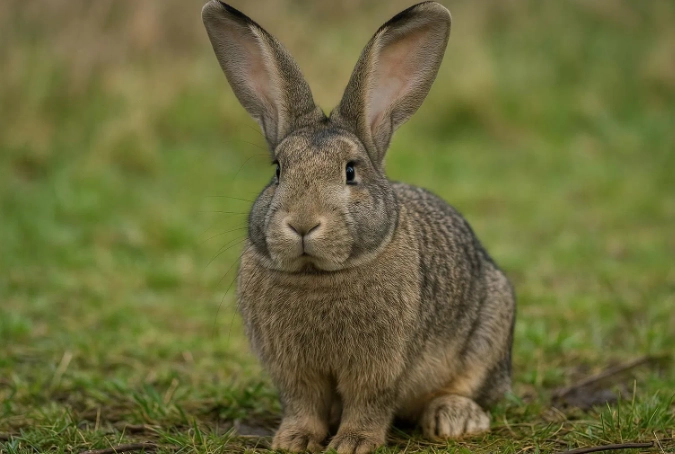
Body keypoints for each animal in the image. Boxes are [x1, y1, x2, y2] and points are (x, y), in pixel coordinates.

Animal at [202, 1, 515, 453]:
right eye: (278, 171)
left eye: (351, 171)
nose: (302, 223)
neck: (317, 275)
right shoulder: (293, 371)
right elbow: (303, 402)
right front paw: (293, 440)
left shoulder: (381, 369)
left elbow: (369, 403)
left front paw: (353, 443)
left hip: (490, 330)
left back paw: (455, 418)